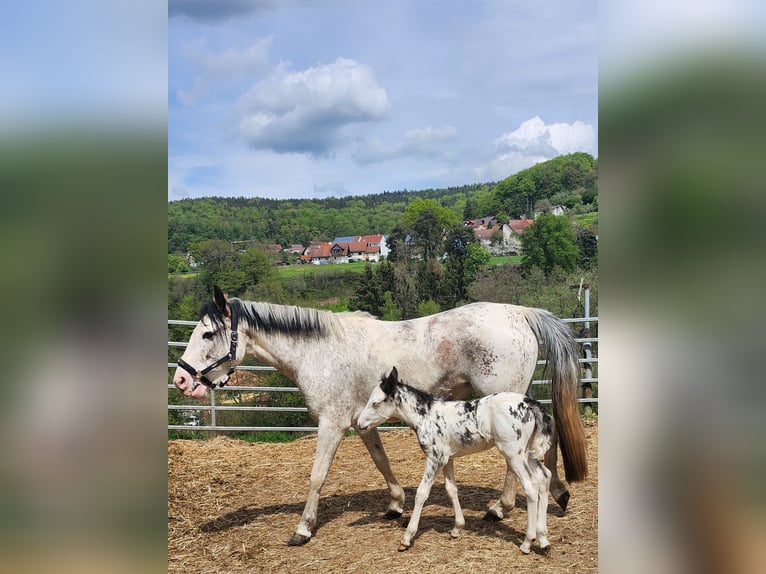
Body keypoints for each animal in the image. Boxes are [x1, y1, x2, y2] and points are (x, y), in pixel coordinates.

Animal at [358, 367, 554, 553]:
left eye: (376, 403)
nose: (360, 424)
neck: (426, 416)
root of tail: (530, 404)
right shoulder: (447, 458)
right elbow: (451, 489)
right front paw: (457, 528)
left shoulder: (435, 458)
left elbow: (422, 493)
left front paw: (406, 538)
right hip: (527, 453)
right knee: (544, 477)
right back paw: (543, 540)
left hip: (513, 453)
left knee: (531, 487)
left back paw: (527, 542)